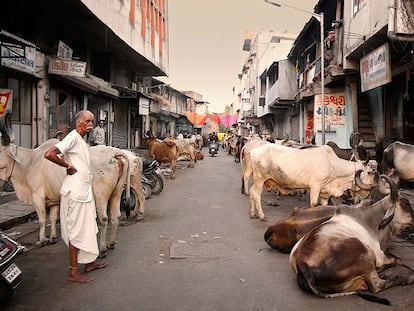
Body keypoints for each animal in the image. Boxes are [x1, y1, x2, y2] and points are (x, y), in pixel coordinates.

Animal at [247, 144, 376, 221]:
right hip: (260, 179)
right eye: (366, 171)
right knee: (256, 194)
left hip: (257, 180)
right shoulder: (315, 186)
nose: (367, 192)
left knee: (251, 191)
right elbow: (314, 204)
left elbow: (324, 205)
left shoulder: (324, 192)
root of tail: (254, 151)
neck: (332, 164)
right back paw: (261, 215)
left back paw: (252, 213)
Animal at [290, 176, 414, 304]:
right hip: (364, 255)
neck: (372, 222)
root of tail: (302, 264)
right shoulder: (380, 256)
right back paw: (407, 278)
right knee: (377, 285)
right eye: (405, 203)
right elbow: (396, 260)